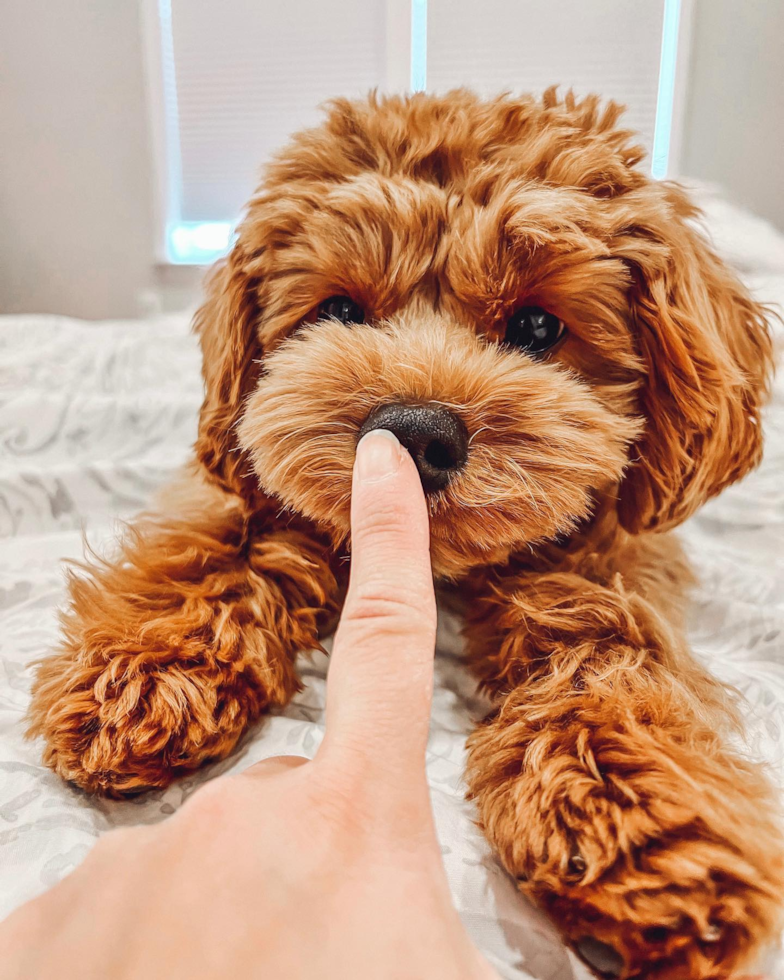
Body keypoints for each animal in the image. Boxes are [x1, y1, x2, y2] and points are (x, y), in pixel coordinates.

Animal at [27, 90, 780, 972]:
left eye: (536, 328)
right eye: (340, 311)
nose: (415, 433)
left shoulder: (611, 553)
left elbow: (612, 655)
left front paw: (640, 821)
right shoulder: (248, 476)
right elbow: (222, 542)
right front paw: (143, 669)